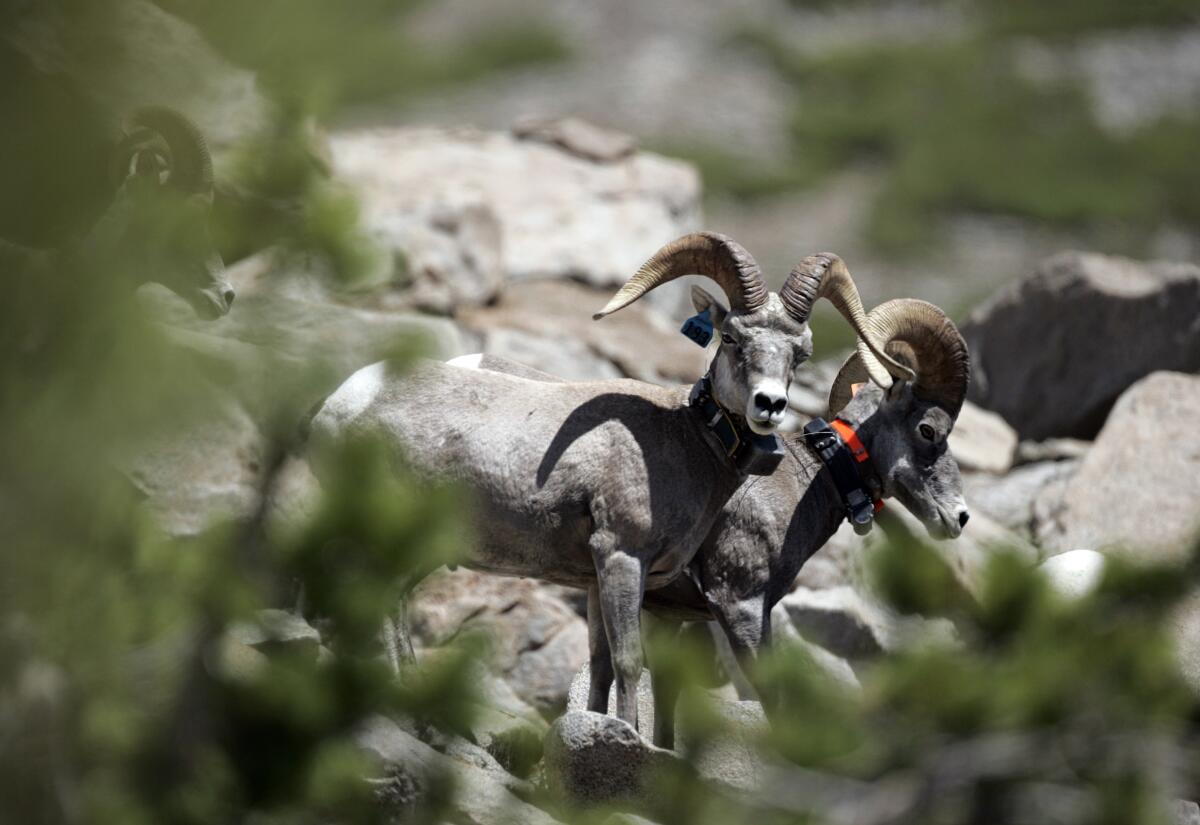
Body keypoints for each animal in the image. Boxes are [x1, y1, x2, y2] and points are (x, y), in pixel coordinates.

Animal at [307, 234, 903, 732]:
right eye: (733, 337)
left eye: (799, 353)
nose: (770, 405)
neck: (685, 442)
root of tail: (341, 404)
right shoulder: (622, 559)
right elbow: (629, 663)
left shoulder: (595, 581)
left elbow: (599, 667)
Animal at [467, 297, 971, 746]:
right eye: (929, 431)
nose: (960, 516)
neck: (804, 482)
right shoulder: (741, 607)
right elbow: (768, 697)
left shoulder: (669, 616)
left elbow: (664, 699)